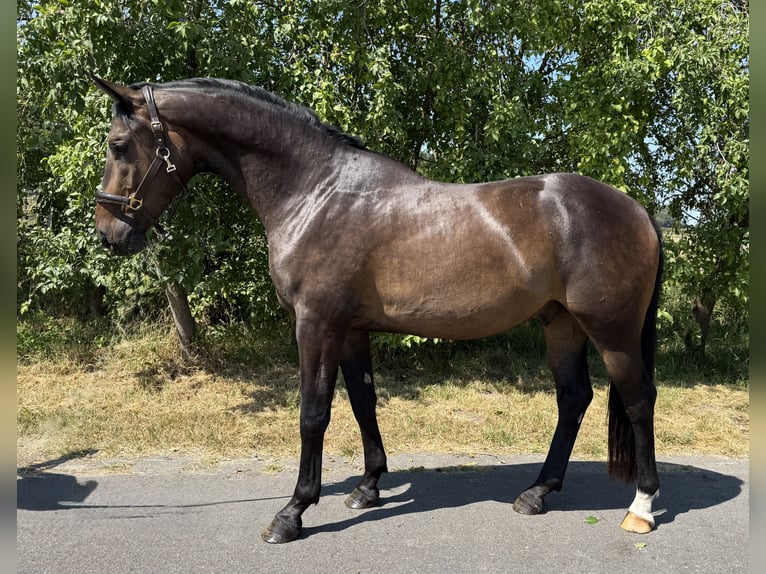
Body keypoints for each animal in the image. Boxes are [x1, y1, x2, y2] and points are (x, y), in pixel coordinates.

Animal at [92, 76, 663, 544]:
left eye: (119, 145)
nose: (109, 234)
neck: (315, 191)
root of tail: (637, 209)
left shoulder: (315, 324)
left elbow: (313, 414)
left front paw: (292, 513)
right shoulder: (350, 329)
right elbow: (364, 402)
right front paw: (367, 488)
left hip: (611, 330)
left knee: (638, 400)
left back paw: (640, 507)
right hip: (561, 323)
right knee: (573, 398)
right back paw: (537, 492)